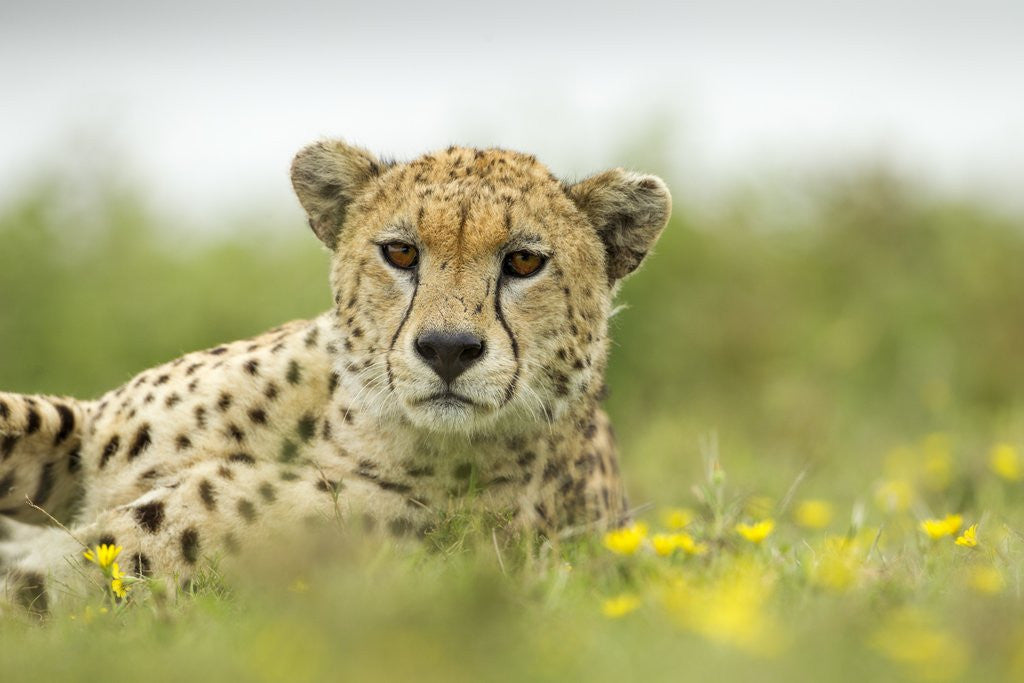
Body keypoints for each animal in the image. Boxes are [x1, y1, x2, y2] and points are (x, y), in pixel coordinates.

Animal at [0, 140, 671, 613]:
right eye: (400, 252)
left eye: (525, 261)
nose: (448, 349)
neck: (337, 425)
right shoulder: (86, 442)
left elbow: (34, 595)